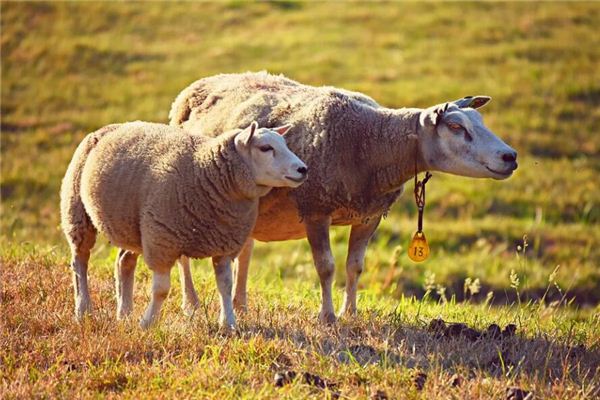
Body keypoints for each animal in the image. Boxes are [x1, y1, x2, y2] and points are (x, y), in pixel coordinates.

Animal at [59, 120, 310, 326]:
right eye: (265, 148)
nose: (303, 169)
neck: (205, 170)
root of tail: (108, 128)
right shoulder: (162, 240)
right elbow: (161, 290)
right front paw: (147, 323)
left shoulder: (225, 243)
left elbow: (225, 285)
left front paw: (229, 324)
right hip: (77, 212)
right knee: (80, 261)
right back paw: (83, 310)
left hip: (132, 226)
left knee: (124, 262)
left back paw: (124, 314)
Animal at [168, 70, 516, 324]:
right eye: (456, 127)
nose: (510, 156)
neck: (370, 142)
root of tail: (201, 83)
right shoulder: (315, 208)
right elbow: (326, 267)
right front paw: (328, 316)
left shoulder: (369, 215)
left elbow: (355, 266)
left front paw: (351, 313)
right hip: (186, 193)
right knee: (184, 255)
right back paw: (191, 304)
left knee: (245, 251)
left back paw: (240, 304)